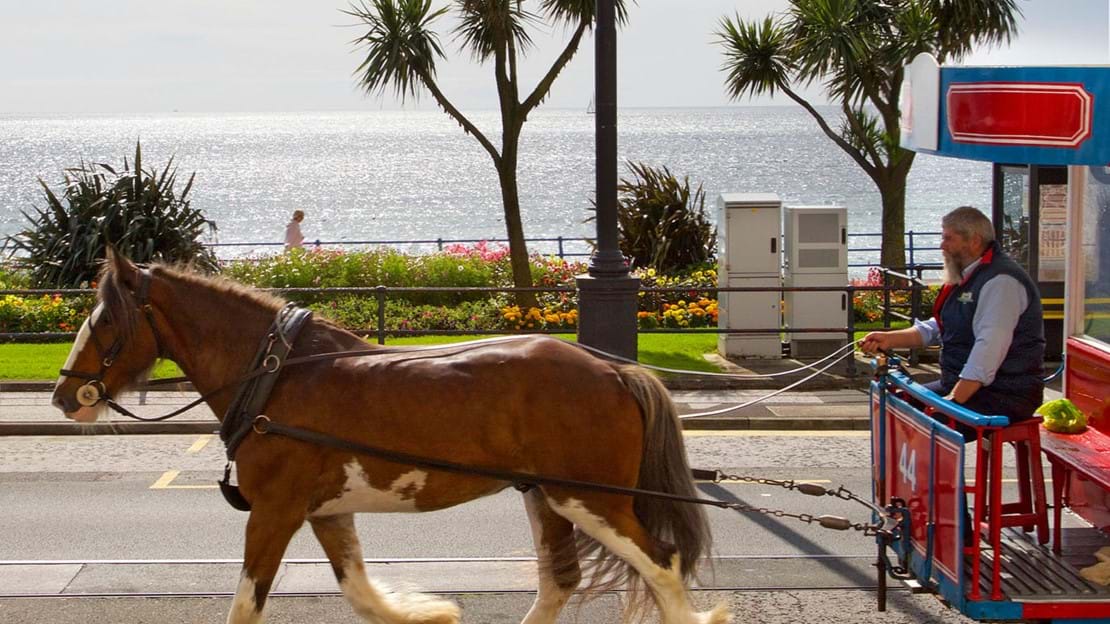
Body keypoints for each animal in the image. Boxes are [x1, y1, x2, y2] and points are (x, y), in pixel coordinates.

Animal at [51, 250, 731, 624]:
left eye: (105, 319)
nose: (63, 394)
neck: (275, 374)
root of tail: (616, 369)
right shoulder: (322, 511)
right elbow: (359, 591)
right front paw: (426, 611)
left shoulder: (273, 511)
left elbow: (246, 604)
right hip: (548, 496)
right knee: (560, 581)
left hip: (590, 498)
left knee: (662, 563)